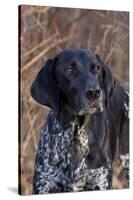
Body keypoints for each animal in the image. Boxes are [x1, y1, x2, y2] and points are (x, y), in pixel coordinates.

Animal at [30, 48, 129, 194]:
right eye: (69, 70)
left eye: (97, 68)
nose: (94, 92)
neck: (75, 134)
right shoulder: (44, 186)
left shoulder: (101, 183)